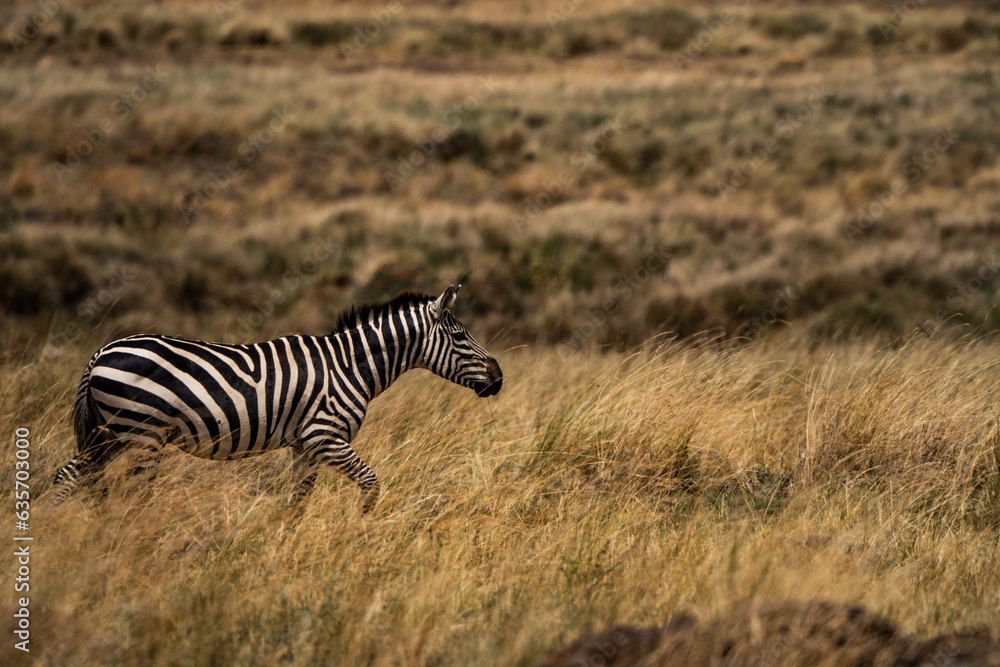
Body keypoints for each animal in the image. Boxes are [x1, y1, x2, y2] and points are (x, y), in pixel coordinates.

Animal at [51, 285, 502, 513]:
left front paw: (288, 544)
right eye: (460, 335)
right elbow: (371, 484)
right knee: (133, 495)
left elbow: (298, 501)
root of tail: (100, 352)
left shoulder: (305, 445)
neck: (350, 366)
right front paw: (364, 530)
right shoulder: (326, 436)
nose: (498, 378)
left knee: (67, 477)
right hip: (141, 434)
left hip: (109, 434)